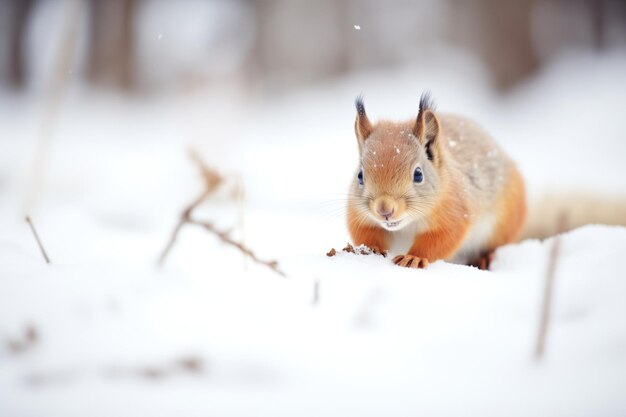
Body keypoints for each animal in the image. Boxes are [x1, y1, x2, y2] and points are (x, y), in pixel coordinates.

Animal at [346, 92, 528, 268]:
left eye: (418, 174)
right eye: (360, 176)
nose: (384, 210)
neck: (408, 225)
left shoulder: (454, 211)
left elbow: (439, 239)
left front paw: (414, 257)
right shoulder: (358, 214)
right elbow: (365, 232)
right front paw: (371, 248)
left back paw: (484, 258)